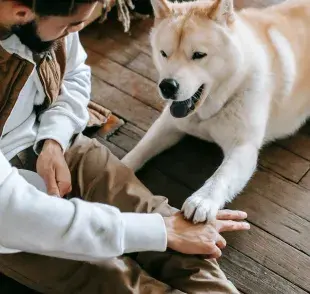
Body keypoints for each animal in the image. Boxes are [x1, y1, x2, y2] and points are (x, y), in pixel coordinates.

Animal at [121, 0, 310, 222]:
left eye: (198, 55)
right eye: (164, 54)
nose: (167, 86)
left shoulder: (243, 146)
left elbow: (222, 175)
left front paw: (202, 200)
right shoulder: (168, 125)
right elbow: (140, 149)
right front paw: (119, 167)